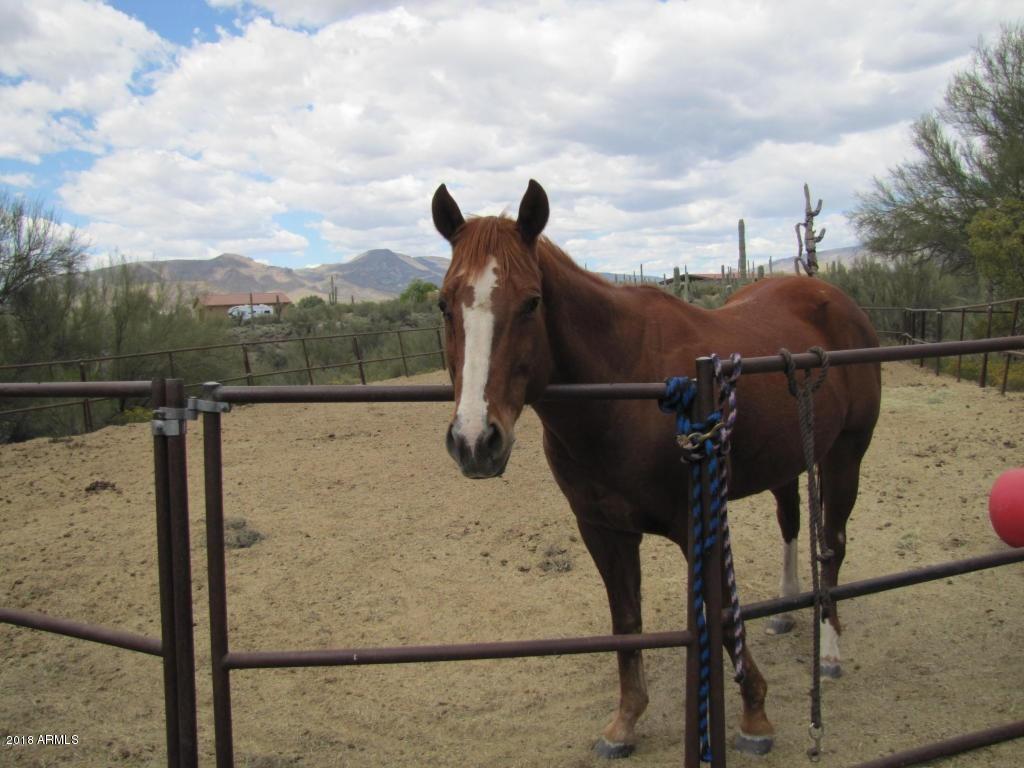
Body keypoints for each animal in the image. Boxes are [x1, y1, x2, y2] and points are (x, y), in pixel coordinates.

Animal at [431, 179, 881, 758]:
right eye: (444, 304)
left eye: (531, 303)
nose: (475, 441)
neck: (623, 386)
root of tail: (836, 300)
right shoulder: (603, 530)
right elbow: (627, 622)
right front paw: (625, 722)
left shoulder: (698, 523)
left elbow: (719, 614)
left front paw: (754, 714)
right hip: (788, 462)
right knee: (792, 522)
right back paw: (784, 611)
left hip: (846, 454)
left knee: (832, 543)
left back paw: (830, 651)